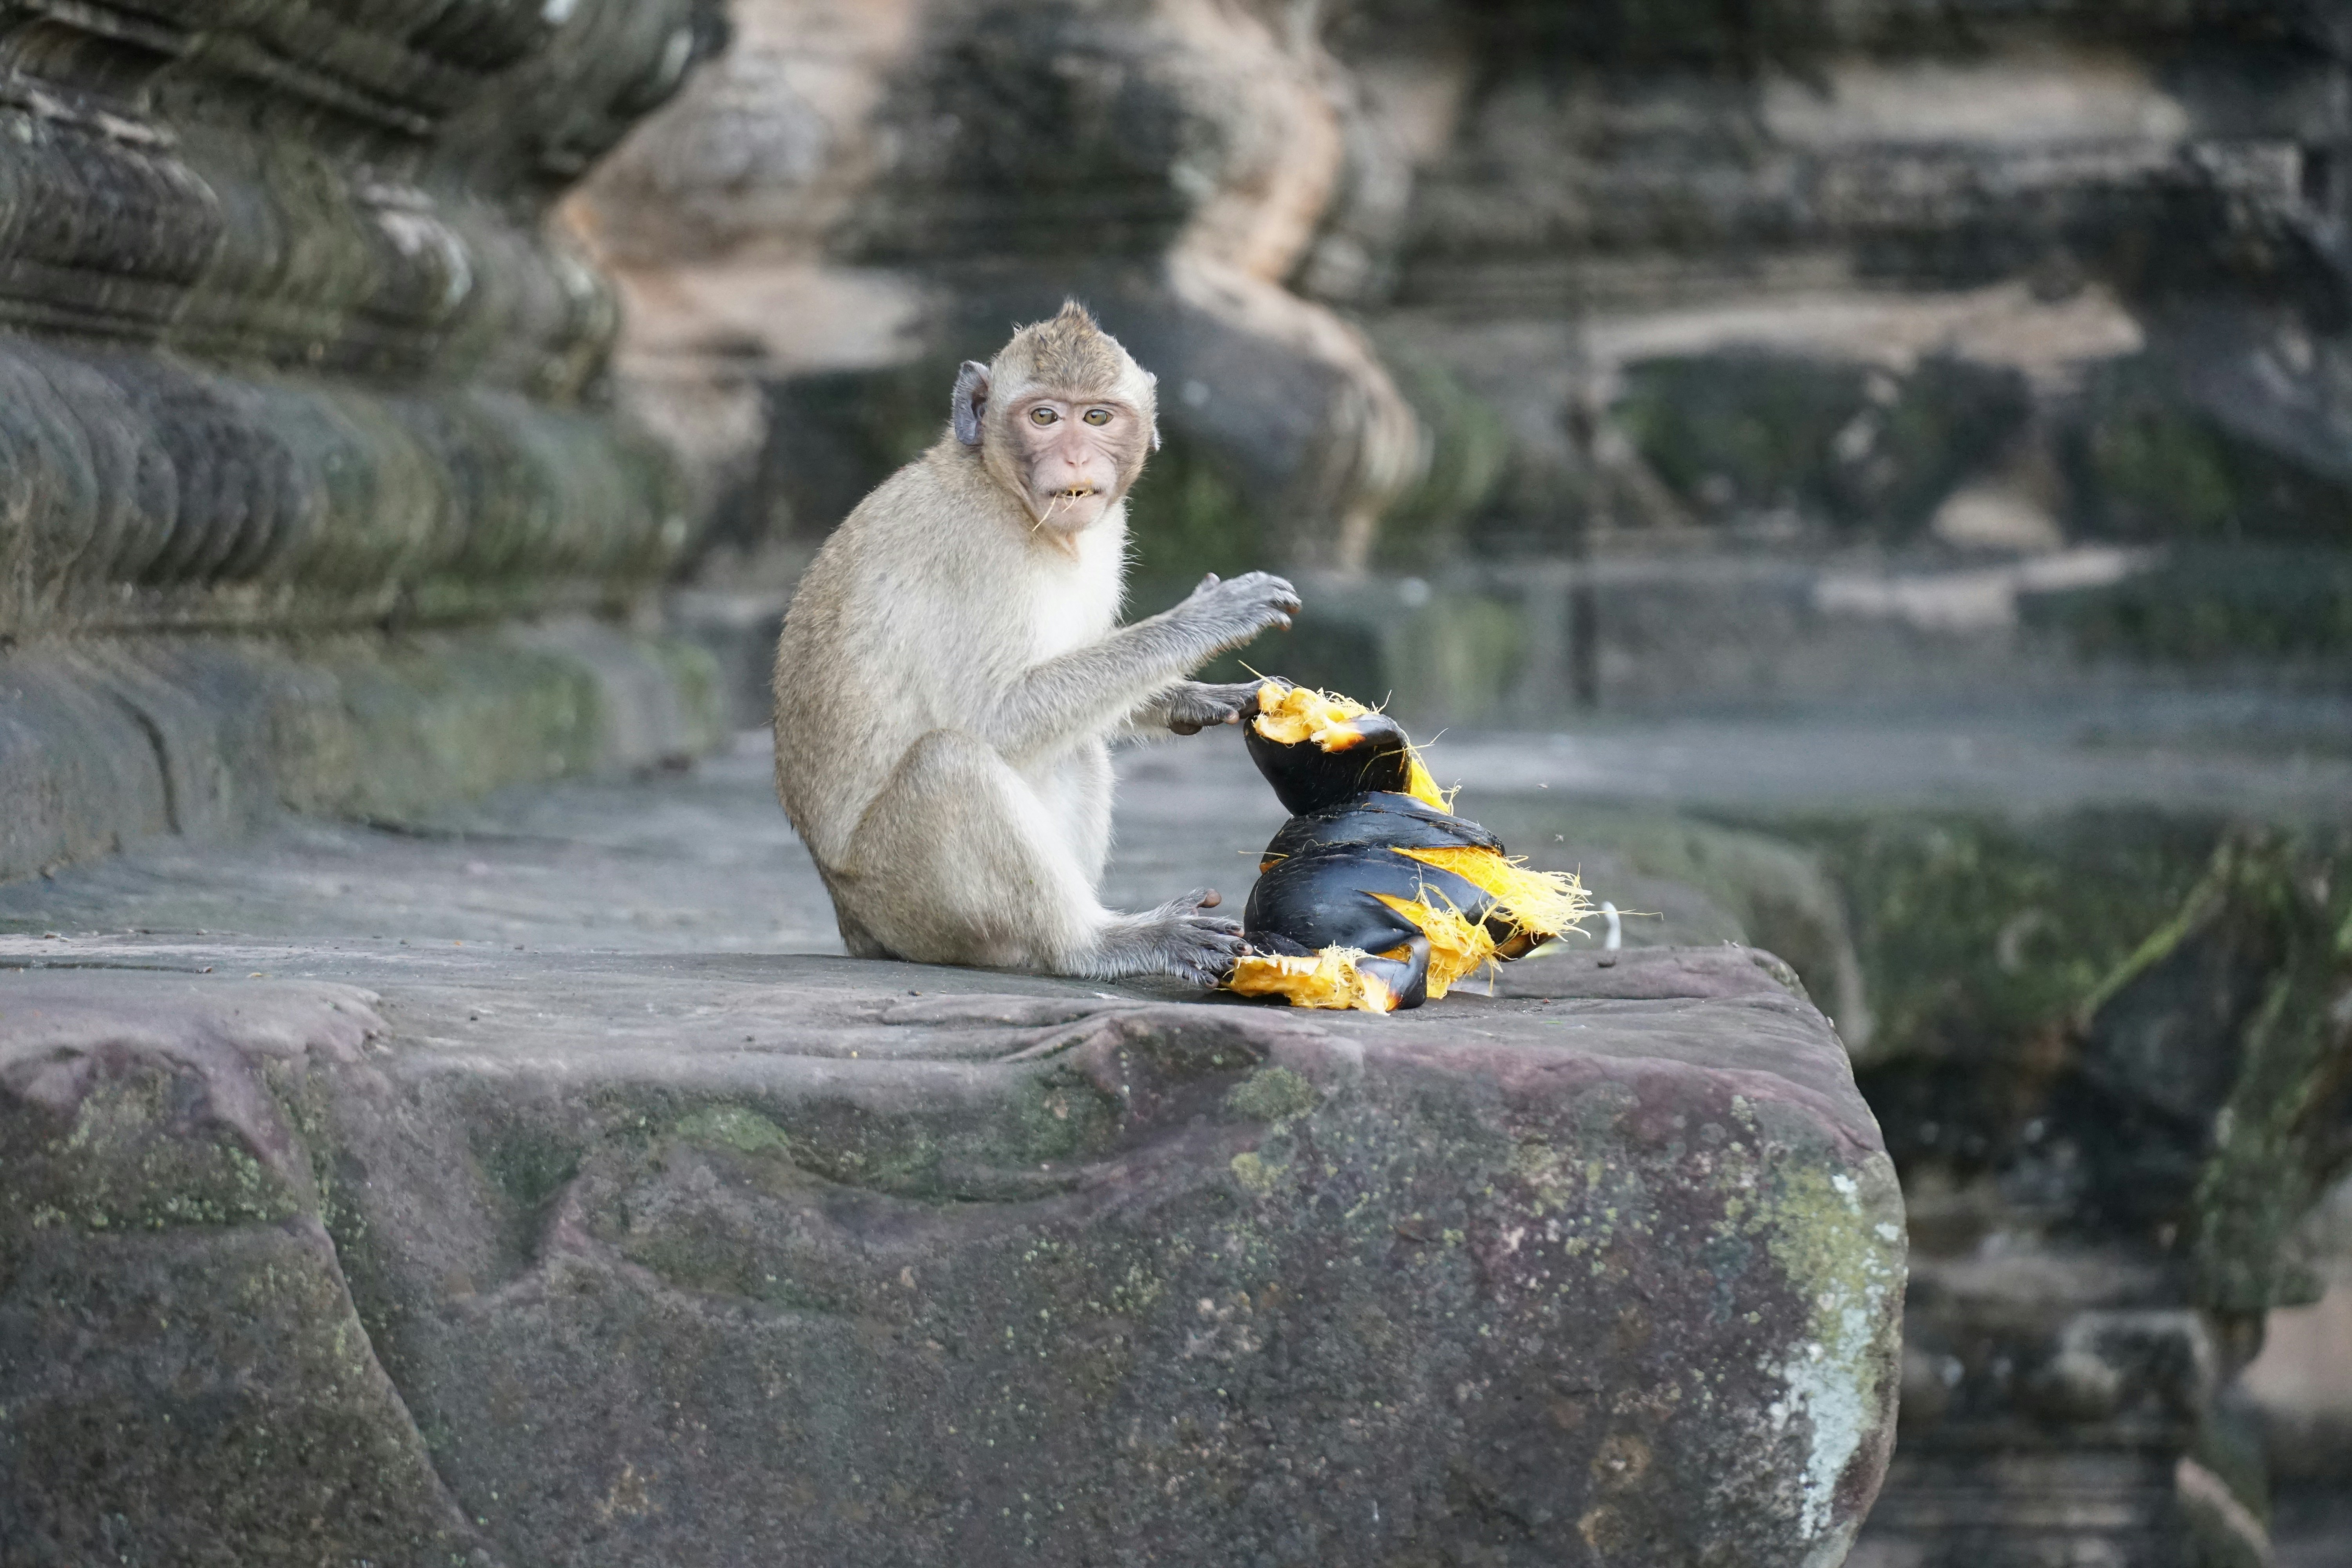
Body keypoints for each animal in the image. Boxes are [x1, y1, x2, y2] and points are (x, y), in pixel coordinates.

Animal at [771, 301, 1301, 986]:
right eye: (1044, 417)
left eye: (1097, 417)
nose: (1074, 461)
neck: (1010, 499)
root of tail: (852, 923)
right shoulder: (974, 551)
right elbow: (994, 714)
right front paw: (1207, 619)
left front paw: (1199, 696)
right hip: (901, 899)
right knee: (951, 760)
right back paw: (1090, 945)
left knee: (1075, 746)